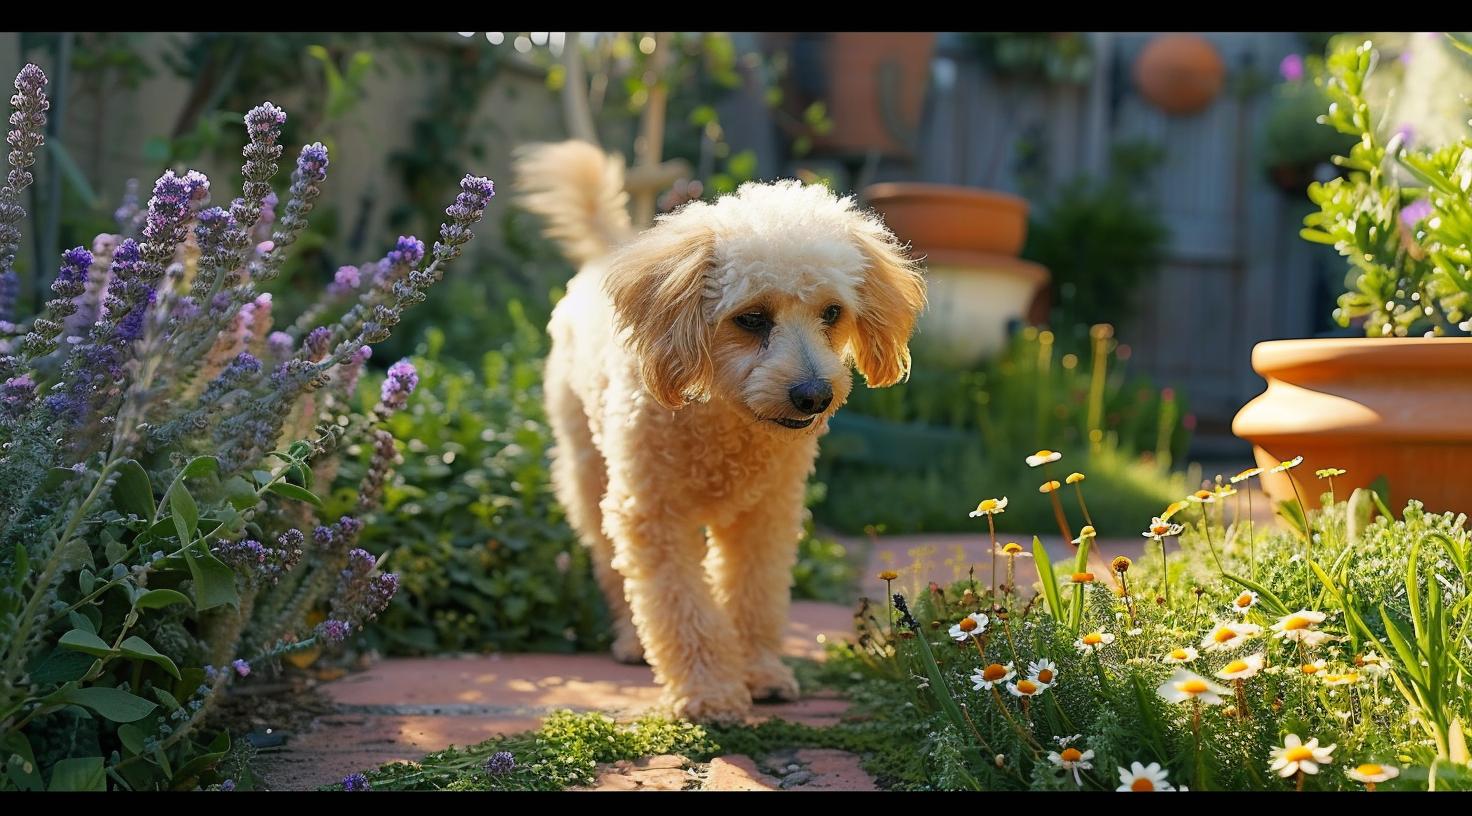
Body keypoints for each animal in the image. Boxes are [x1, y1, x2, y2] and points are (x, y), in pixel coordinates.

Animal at [506, 139, 918, 718]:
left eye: (832, 312)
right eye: (751, 318)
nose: (814, 395)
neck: (723, 419)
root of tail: (604, 256)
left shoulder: (767, 515)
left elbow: (754, 594)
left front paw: (758, 672)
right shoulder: (652, 514)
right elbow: (683, 606)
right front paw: (710, 691)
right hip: (587, 476)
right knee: (612, 566)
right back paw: (631, 641)